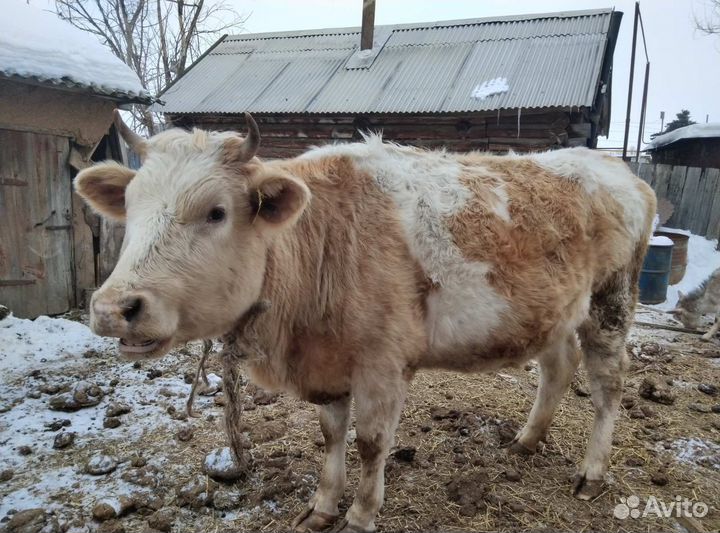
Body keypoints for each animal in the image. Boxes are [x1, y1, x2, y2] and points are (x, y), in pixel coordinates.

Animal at [75, 112, 656, 532]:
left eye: (216, 211)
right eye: (129, 208)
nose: (113, 308)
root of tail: (622, 172)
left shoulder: (383, 365)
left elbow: (371, 443)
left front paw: (359, 515)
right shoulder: (329, 362)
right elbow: (331, 434)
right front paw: (322, 506)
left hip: (611, 303)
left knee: (607, 385)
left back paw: (592, 471)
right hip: (553, 313)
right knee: (558, 367)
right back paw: (526, 440)